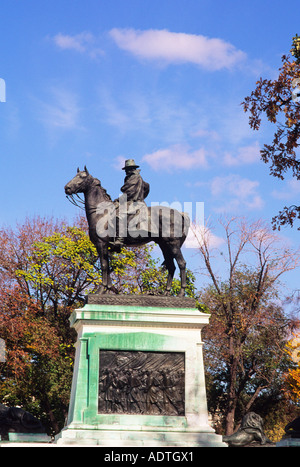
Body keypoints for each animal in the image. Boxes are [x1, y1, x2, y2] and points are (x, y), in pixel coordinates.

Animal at [64, 168, 190, 296]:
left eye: (82, 177)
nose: (67, 188)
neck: (102, 213)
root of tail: (180, 214)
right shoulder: (105, 247)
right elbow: (107, 267)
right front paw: (107, 289)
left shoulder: (101, 244)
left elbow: (104, 266)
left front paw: (100, 290)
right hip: (164, 246)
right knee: (171, 266)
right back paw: (166, 293)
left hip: (173, 244)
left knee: (182, 264)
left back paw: (181, 293)